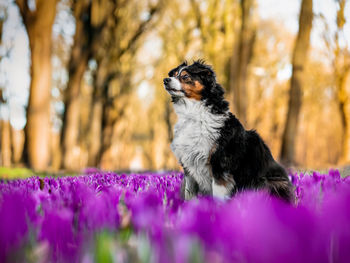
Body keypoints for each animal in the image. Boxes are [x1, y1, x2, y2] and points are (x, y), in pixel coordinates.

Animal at [163, 60, 294, 203]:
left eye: (185, 76)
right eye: (174, 74)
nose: (165, 80)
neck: (194, 115)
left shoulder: (220, 167)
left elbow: (218, 197)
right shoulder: (189, 167)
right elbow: (189, 195)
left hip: (268, 182)